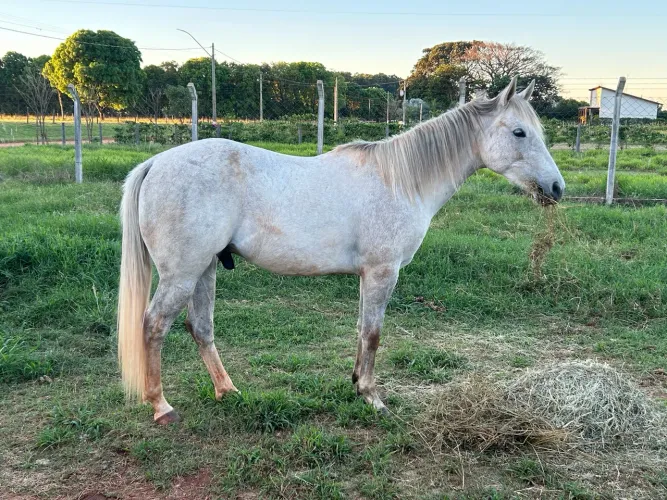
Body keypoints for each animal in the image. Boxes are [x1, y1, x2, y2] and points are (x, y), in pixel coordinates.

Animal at [117, 77, 565, 424]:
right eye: (519, 132)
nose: (557, 188)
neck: (401, 181)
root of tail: (155, 163)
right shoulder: (383, 272)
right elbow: (374, 333)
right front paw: (372, 396)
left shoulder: (369, 276)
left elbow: (362, 330)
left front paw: (355, 384)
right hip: (182, 274)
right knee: (154, 326)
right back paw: (161, 406)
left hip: (204, 268)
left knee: (201, 327)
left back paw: (227, 390)